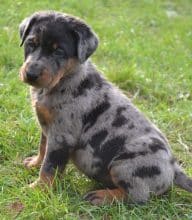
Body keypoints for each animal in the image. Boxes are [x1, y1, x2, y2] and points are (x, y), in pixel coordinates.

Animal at [18, 11, 191, 205]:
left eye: (59, 51)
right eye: (31, 43)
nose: (31, 74)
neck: (62, 81)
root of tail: (174, 169)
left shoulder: (62, 137)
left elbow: (49, 167)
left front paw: (37, 190)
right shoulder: (47, 128)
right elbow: (42, 148)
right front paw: (34, 163)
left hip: (123, 166)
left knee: (136, 196)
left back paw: (101, 196)